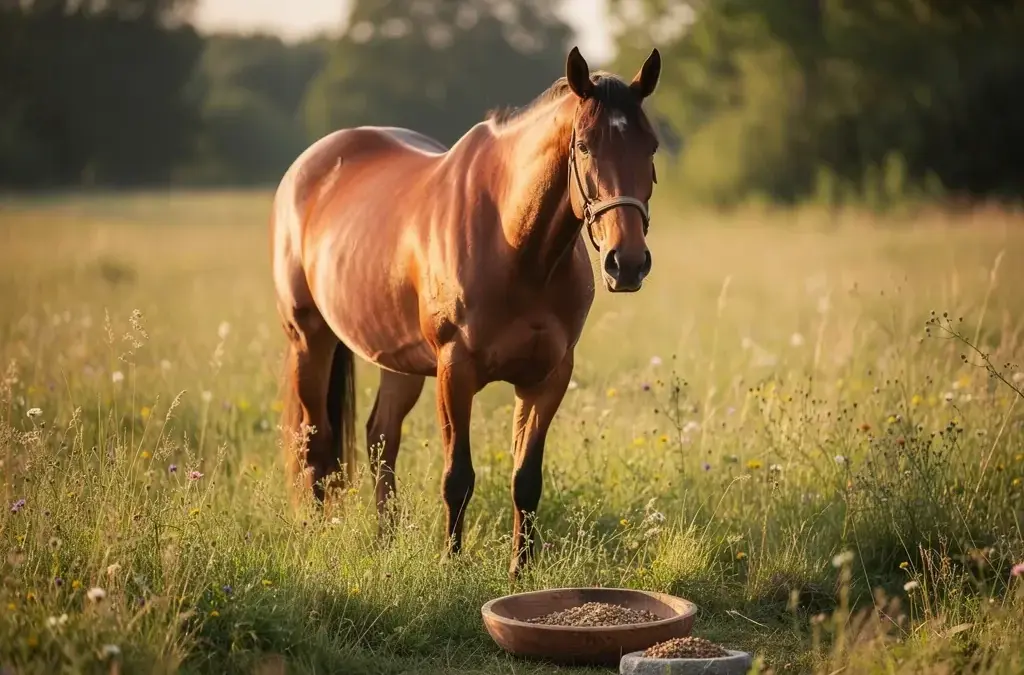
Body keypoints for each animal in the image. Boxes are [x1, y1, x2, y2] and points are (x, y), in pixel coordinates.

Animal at [271, 45, 661, 578]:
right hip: (309, 339)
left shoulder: (548, 377)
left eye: (652, 148)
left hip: (398, 359)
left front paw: (521, 570)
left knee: (379, 439)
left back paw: (385, 541)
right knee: (316, 442)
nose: (627, 263)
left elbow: (526, 478)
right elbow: (458, 475)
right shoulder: (455, 369)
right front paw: (451, 564)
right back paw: (317, 535)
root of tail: (308, 168)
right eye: (583, 146)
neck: (515, 243)